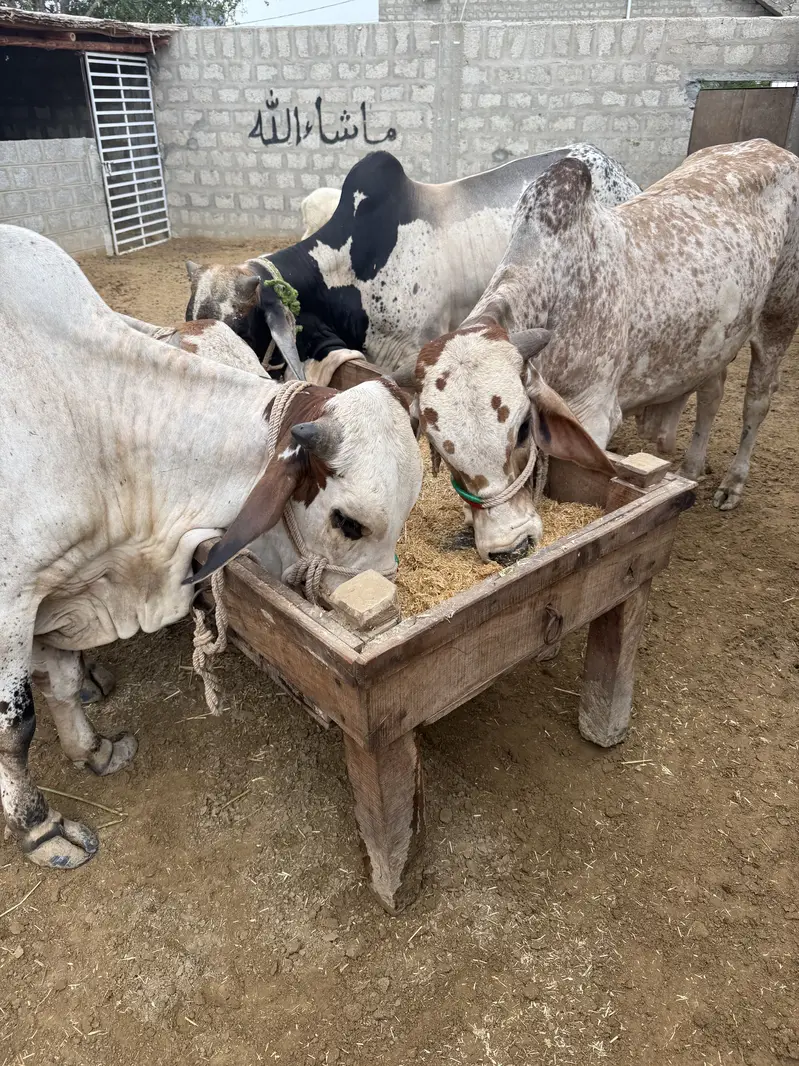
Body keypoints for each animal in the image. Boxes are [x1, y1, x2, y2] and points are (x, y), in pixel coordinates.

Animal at [0, 224, 422, 871]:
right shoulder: (10, 601)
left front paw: (91, 749)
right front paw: (43, 828)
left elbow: (63, 682)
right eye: (348, 523)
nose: (377, 604)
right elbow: (15, 731)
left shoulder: (59, 580)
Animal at [414, 139, 799, 563]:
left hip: (777, 320)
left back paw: (733, 484)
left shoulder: (595, 413)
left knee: (756, 402)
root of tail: (769, 146)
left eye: (523, 429)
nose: (509, 549)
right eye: (439, 449)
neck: (558, 293)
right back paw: (692, 468)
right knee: (712, 395)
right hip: (716, 341)